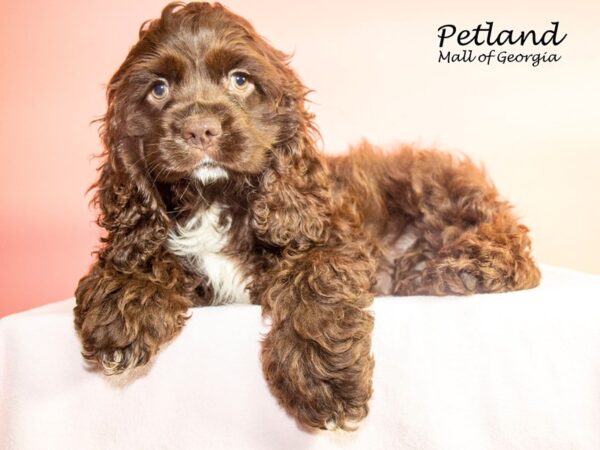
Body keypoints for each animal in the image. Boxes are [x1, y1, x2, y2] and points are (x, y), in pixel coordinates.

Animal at [72, 1, 540, 430]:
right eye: (158, 89)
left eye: (240, 80)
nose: (200, 129)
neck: (214, 197)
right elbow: (143, 252)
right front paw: (123, 300)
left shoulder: (333, 239)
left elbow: (315, 278)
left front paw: (323, 381)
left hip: (436, 188)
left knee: (513, 246)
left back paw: (454, 268)